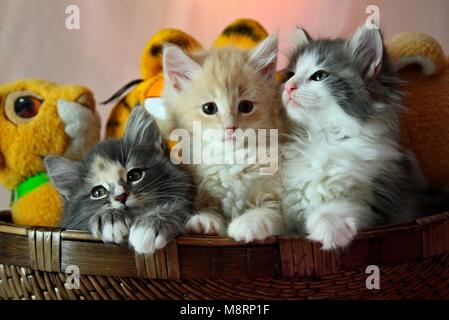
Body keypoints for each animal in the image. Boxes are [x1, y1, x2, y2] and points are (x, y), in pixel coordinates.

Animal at [43, 106, 194, 254]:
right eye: (98, 192)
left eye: (134, 176)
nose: (121, 196)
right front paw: (108, 218)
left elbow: (177, 207)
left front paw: (149, 225)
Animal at [159, 35, 282, 241]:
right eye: (209, 108)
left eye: (246, 106)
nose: (230, 127)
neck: (230, 159)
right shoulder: (202, 189)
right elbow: (209, 207)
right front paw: (204, 220)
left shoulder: (276, 191)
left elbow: (270, 209)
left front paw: (248, 223)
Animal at [280, 25, 428, 250]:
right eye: (290, 74)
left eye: (319, 76)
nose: (289, 86)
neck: (323, 138)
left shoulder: (377, 198)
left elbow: (346, 206)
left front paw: (331, 226)